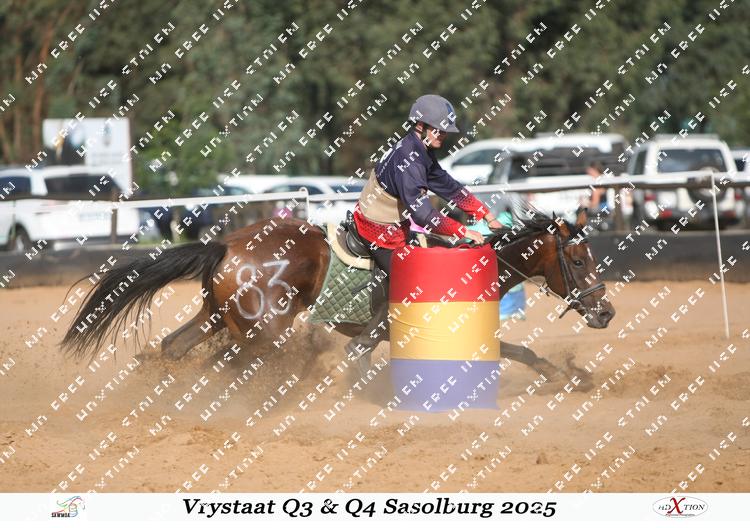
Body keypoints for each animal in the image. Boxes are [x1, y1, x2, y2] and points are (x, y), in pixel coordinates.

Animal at [61, 207, 615, 390]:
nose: (606, 311)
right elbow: (355, 362)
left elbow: (517, 351)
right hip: (264, 334)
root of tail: (225, 245)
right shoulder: (373, 336)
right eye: (579, 259)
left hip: (218, 319)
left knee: (175, 348)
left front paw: (569, 377)